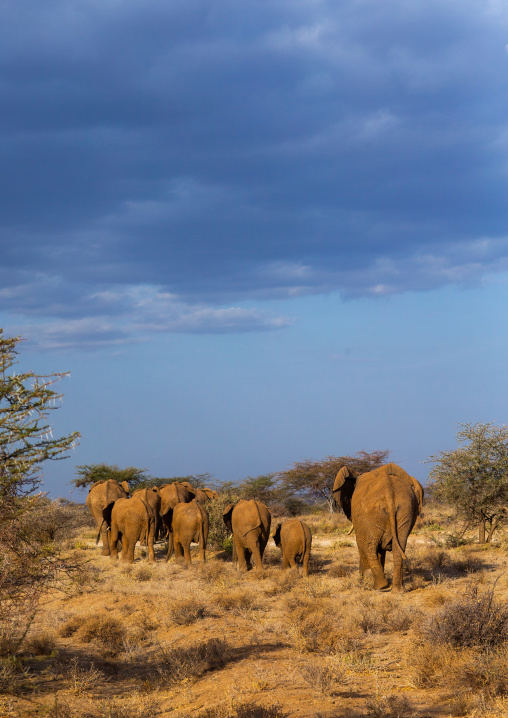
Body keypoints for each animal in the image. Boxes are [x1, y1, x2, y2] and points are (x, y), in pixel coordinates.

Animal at [332, 463, 424, 591]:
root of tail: (389, 492)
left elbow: (364, 544)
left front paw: (364, 581)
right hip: (405, 509)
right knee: (399, 547)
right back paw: (398, 591)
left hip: (370, 515)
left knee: (367, 546)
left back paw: (380, 586)